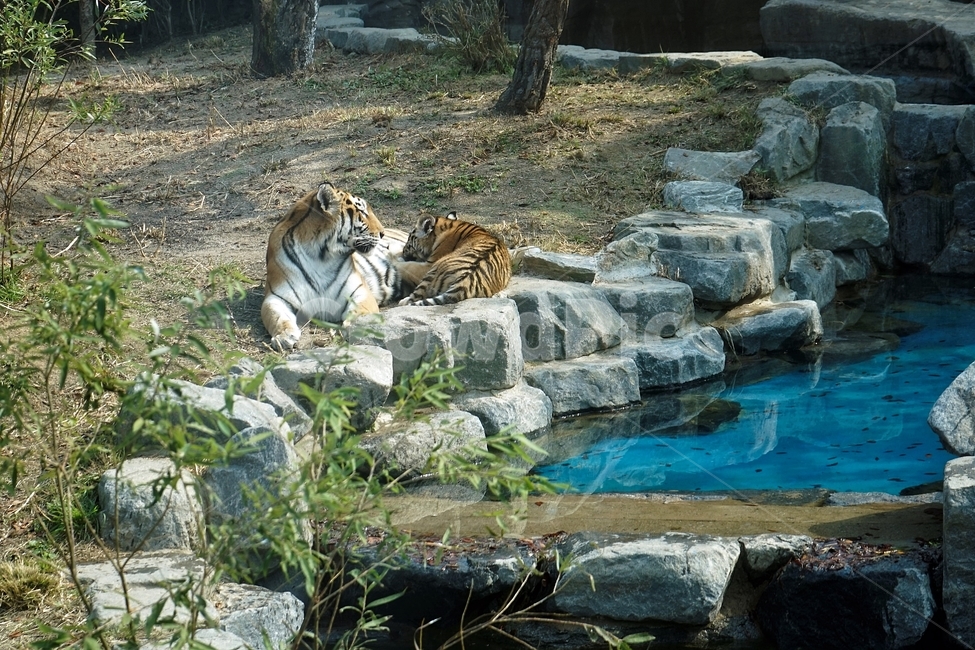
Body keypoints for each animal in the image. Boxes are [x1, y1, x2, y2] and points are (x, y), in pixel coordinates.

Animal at [261, 181, 406, 351]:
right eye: (362, 212)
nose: (382, 233)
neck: (320, 256)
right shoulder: (276, 297)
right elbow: (276, 317)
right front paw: (284, 336)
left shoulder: (360, 291)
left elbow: (360, 311)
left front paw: (355, 327)